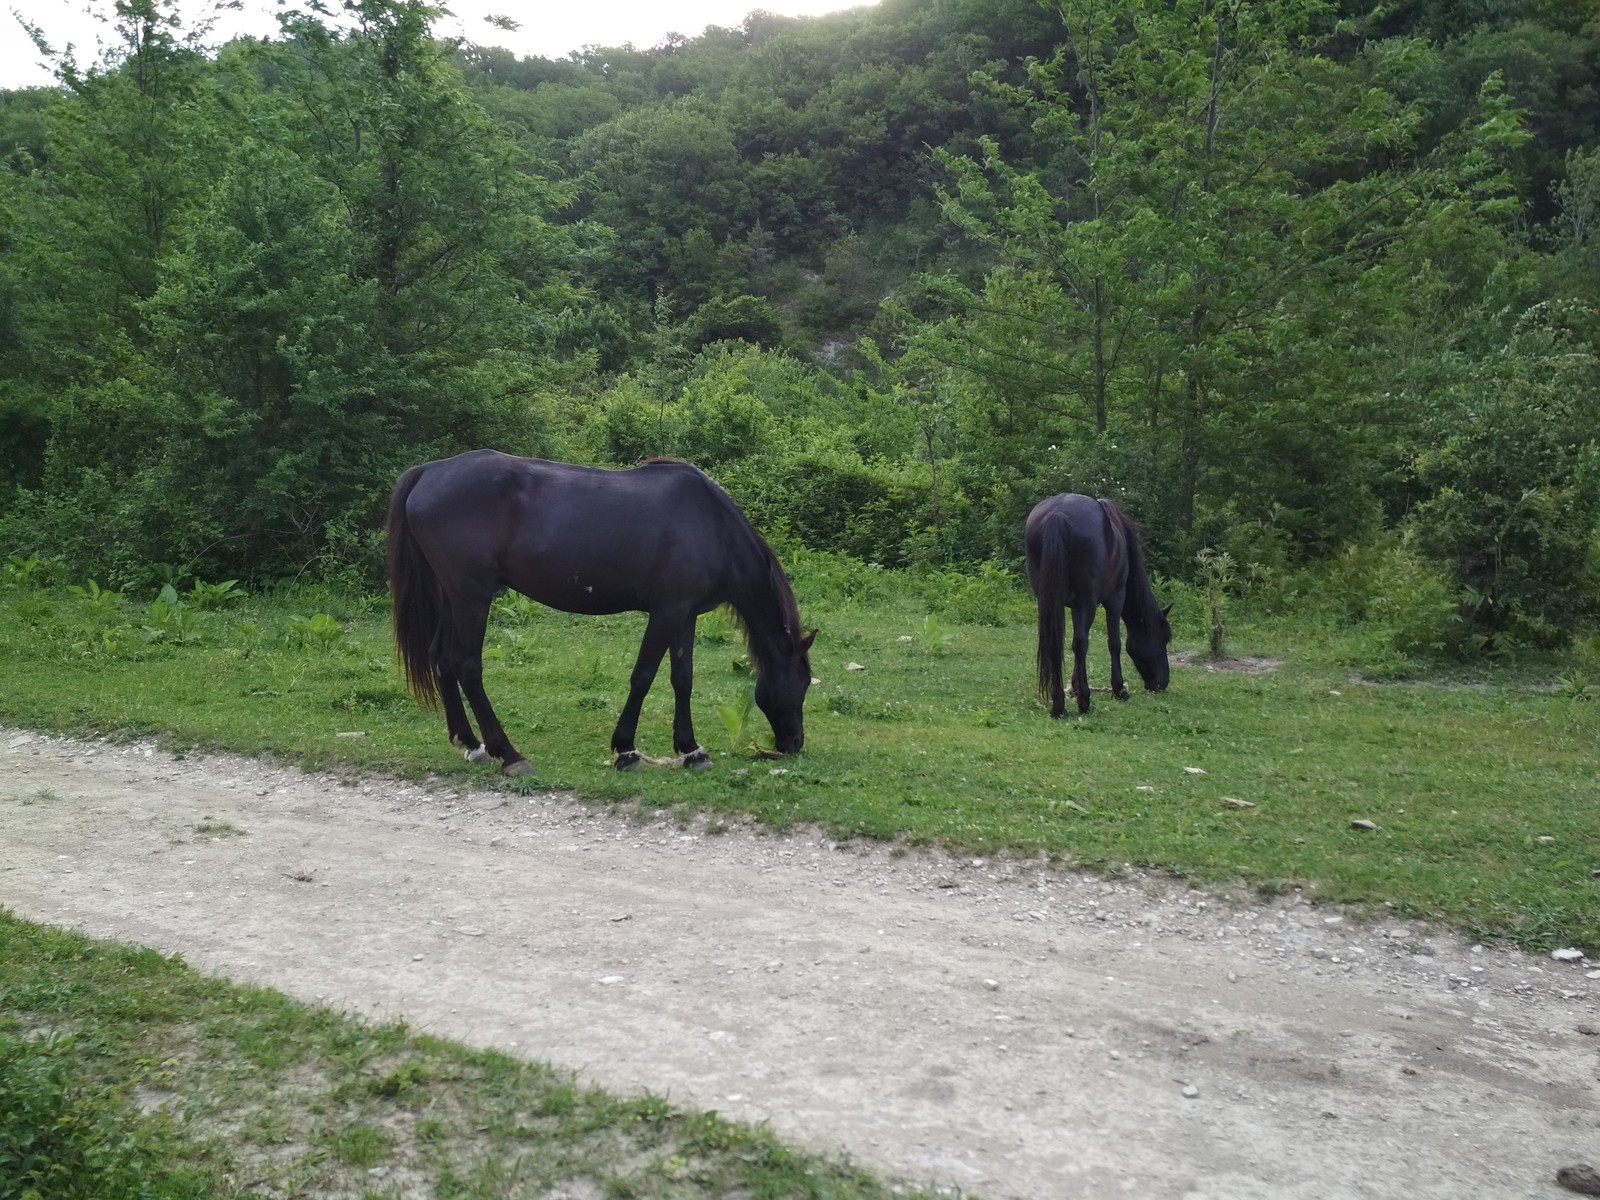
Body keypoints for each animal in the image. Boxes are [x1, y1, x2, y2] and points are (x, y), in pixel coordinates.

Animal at [385, 448, 812, 774]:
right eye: (803, 682)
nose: (794, 743)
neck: (712, 525)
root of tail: (429, 472)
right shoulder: (666, 612)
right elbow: (643, 676)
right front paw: (626, 750)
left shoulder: (685, 615)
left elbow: (682, 678)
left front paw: (691, 749)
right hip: (472, 596)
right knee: (467, 665)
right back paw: (509, 754)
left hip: (452, 597)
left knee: (441, 659)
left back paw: (471, 745)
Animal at [1024, 492, 1177, 720]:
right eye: (1163, 639)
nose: (1162, 683)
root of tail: (1058, 514)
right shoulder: (1114, 598)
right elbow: (1114, 643)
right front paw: (1119, 690)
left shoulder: (1075, 606)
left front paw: (1075, 687)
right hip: (1088, 600)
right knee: (1081, 643)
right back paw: (1084, 702)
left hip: (1049, 600)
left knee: (1057, 643)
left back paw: (1058, 704)